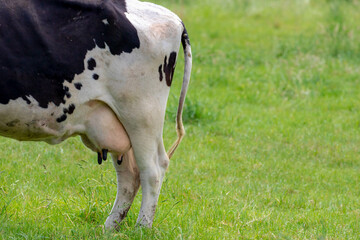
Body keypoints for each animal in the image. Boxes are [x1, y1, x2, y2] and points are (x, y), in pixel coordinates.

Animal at [0, 0, 191, 229]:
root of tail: (173, 17)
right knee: (130, 174)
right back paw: (109, 228)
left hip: (142, 114)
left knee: (153, 169)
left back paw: (141, 228)